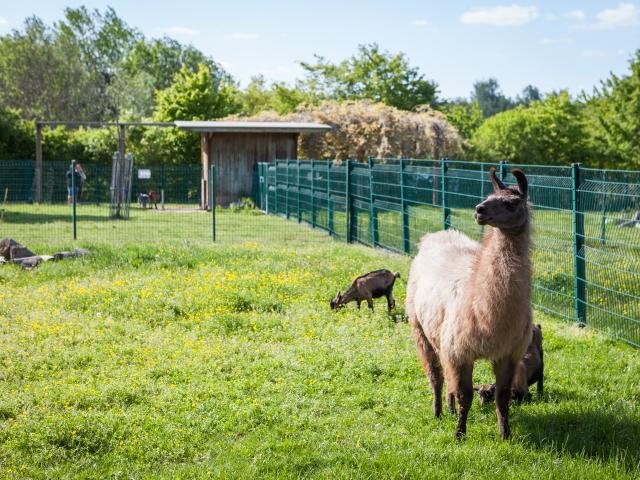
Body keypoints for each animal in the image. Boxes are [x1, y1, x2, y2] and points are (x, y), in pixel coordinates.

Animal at [408, 168, 532, 438]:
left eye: (511, 203)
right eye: (487, 196)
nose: (479, 210)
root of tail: (436, 235)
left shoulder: (508, 352)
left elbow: (502, 397)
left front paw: (505, 434)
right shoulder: (460, 350)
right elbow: (466, 395)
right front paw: (459, 434)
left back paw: (448, 408)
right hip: (418, 326)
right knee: (436, 375)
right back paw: (438, 412)